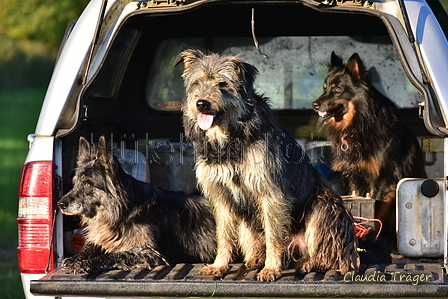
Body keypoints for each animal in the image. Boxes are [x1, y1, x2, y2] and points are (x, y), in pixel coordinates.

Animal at [58, 137, 217, 274]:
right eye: (75, 183)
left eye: (87, 184)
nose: (60, 204)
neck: (123, 213)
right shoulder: (107, 239)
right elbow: (92, 248)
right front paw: (74, 258)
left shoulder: (149, 253)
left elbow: (114, 255)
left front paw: (83, 263)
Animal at [175, 49, 360, 284]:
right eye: (197, 83)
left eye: (223, 84)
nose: (201, 104)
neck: (229, 138)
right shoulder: (222, 197)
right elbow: (223, 236)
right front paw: (219, 266)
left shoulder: (271, 192)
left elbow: (273, 235)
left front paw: (271, 268)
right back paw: (256, 257)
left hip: (324, 208)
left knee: (327, 255)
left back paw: (309, 263)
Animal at [314, 51, 426, 239]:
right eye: (324, 88)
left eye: (337, 89)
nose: (314, 104)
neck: (360, 123)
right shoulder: (356, 176)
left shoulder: (385, 177)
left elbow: (377, 208)